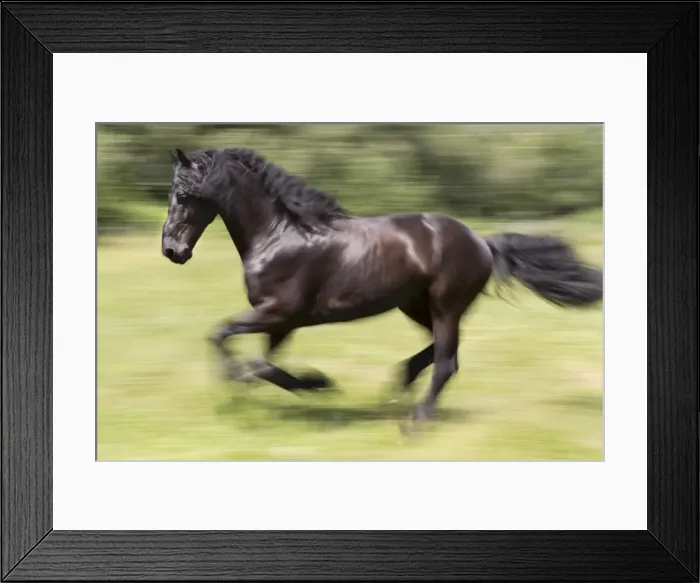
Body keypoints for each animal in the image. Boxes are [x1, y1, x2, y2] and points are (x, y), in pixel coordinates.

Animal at [161, 146, 603, 431]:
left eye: (183, 194)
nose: (171, 250)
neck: (278, 236)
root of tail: (483, 242)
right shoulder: (283, 321)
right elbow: (264, 363)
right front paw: (313, 383)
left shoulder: (278, 311)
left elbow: (226, 339)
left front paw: (257, 381)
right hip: (416, 306)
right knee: (443, 353)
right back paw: (401, 382)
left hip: (444, 305)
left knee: (448, 362)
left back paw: (418, 419)